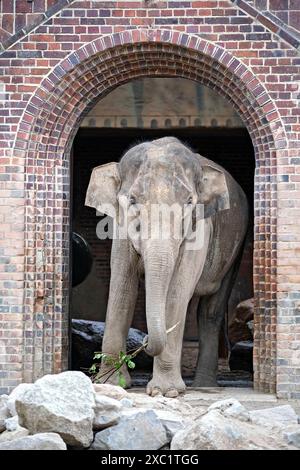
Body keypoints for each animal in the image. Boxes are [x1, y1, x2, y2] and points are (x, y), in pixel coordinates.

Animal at [85, 136, 248, 396]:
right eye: (132, 200)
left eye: (189, 201)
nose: (144, 341)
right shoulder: (120, 229)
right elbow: (122, 289)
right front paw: (110, 384)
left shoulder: (200, 228)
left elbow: (177, 291)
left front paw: (166, 391)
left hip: (236, 247)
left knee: (210, 311)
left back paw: (204, 386)